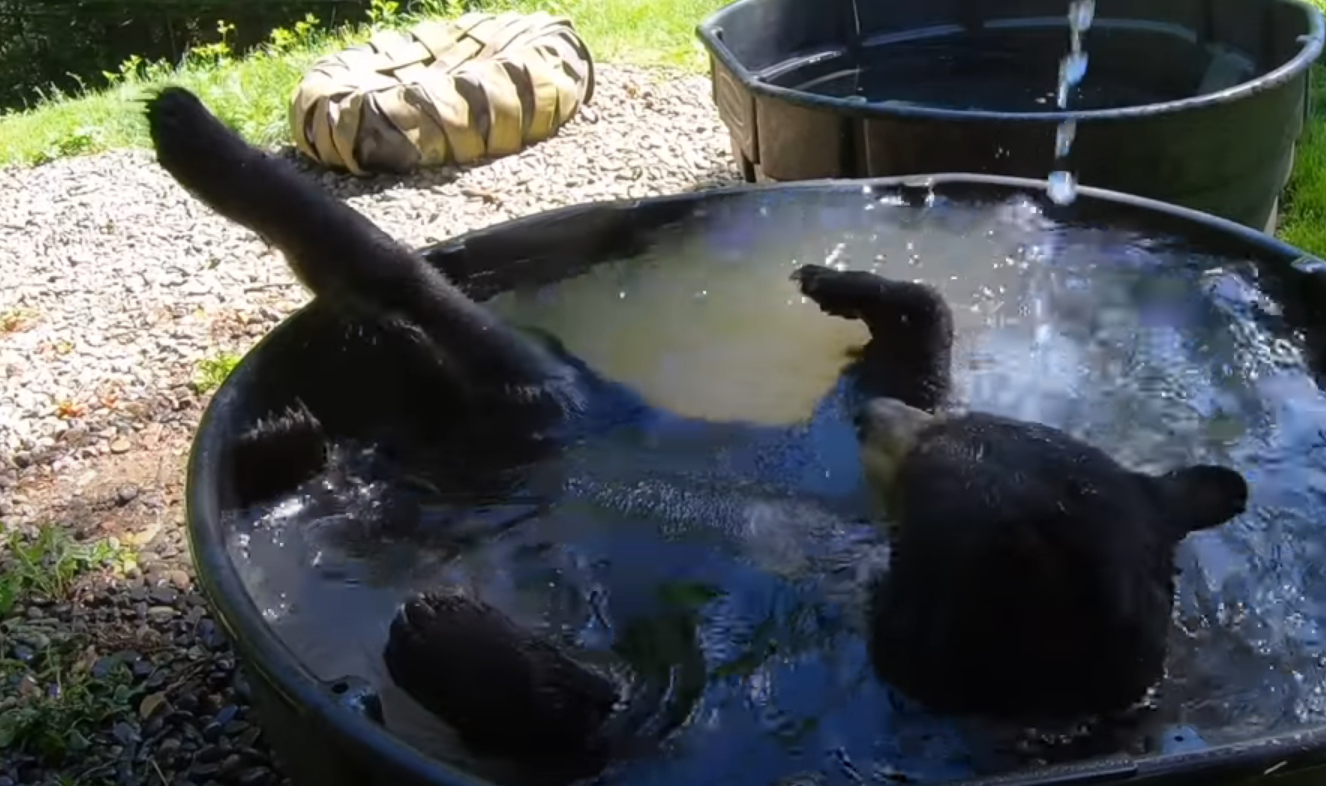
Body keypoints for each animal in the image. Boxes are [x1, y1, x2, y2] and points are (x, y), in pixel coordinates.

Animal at [145, 88, 1251, 774]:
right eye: (953, 438)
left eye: (931, 466)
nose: (893, 425)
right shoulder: (825, 453)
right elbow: (906, 348)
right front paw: (838, 284)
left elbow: (623, 717)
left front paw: (448, 638)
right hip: (561, 390)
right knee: (384, 290)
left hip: (524, 387)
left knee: (388, 285)